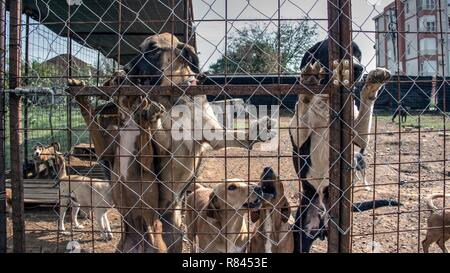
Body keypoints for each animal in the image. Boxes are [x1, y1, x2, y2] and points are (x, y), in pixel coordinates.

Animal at [292, 39, 400, 252]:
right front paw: (308, 82)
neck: (327, 102)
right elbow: (303, 111)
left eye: (358, 54)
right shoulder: (298, 138)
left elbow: (366, 108)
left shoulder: (359, 136)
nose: (358, 68)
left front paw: (373, 84)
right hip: (301, 234)